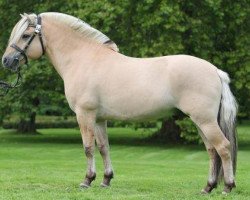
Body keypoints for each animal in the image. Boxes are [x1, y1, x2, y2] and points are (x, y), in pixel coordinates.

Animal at [0, 12, 237, 194]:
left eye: (26, 35)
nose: (6, 61)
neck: (83, 59)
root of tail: (215, 71)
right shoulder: (99, 119)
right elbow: (104, 148)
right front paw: (105, 180)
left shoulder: (84, 115)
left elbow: (88, 148)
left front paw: (87, 180)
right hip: (199, 121)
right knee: (212, 150)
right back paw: (208, 187)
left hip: (204, 120)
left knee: (223, 147)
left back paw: (227, 187)